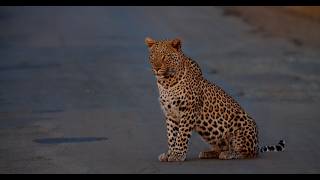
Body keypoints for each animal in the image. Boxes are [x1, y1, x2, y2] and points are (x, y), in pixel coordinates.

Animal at [145, 36, 284, 162]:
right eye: (152, 56)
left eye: (165, 56)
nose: (156, 68)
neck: (166, 82)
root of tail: (257, 144)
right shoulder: (171, 113)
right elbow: (171, 135)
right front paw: (169, 153)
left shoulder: (188, 110)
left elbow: (181, 135)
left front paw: (177, 155)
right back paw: (208, 153)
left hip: (243, 124)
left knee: (248, 152)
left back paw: (229, 154)